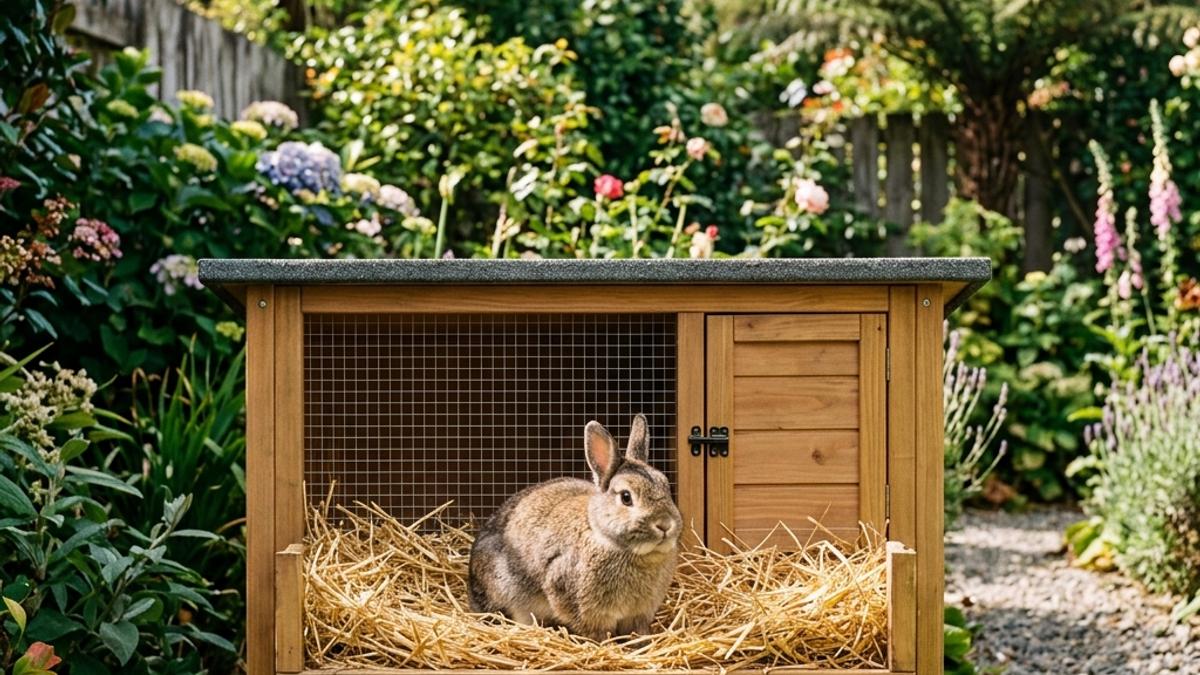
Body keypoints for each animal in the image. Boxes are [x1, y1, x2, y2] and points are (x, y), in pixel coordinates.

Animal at [467, 413, 682, 641]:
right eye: (626, 497)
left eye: (666, 486)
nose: (665, 525)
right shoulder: (579, 604)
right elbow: (597, 633)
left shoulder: (639, 614)